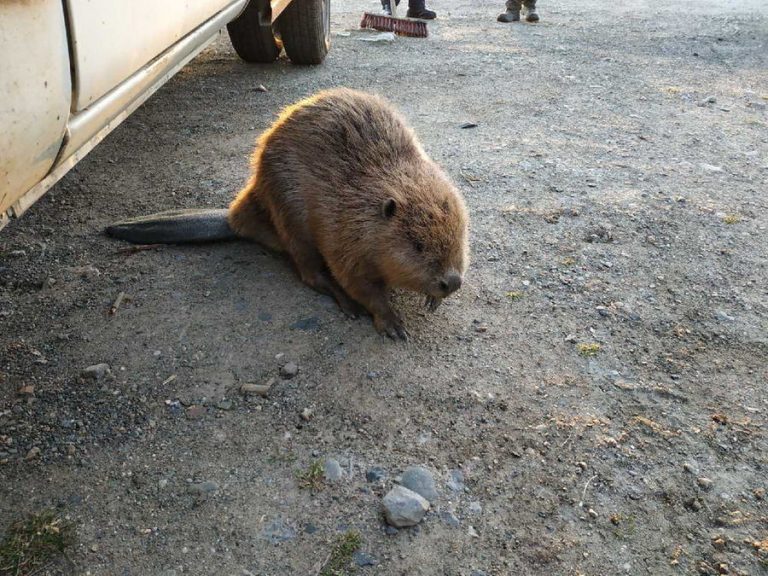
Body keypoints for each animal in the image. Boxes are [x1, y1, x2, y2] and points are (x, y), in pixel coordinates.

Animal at [106, 88, 468, 340]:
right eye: (418, 245)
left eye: (459, 238)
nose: (451, 282)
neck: (365, 207)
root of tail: (232, 219)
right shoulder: (341, 234)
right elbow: (357, 284)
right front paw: (392, 323)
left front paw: (433, 301)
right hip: (289, 214)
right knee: (309, 273)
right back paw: (345, 305)